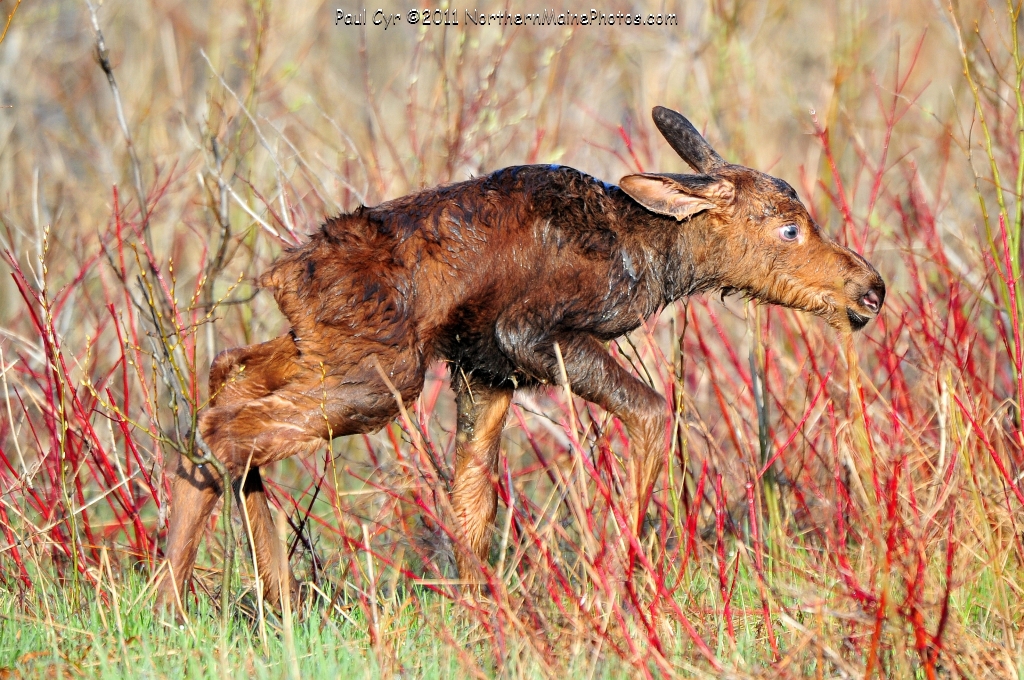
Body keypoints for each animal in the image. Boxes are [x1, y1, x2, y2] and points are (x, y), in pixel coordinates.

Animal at [157, 104, 880, 610]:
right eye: (789, 227)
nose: (871, 288)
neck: (659, 257)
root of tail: (282, 272)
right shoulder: (529, 333)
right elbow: (653, 415)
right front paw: (617, 585)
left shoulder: (485, 372)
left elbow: (471, 506)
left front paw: (478, 611)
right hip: (381, 376)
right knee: (230, 428)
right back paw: (240, 596)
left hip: (326, 348)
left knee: (225, 378)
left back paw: (197, 599)